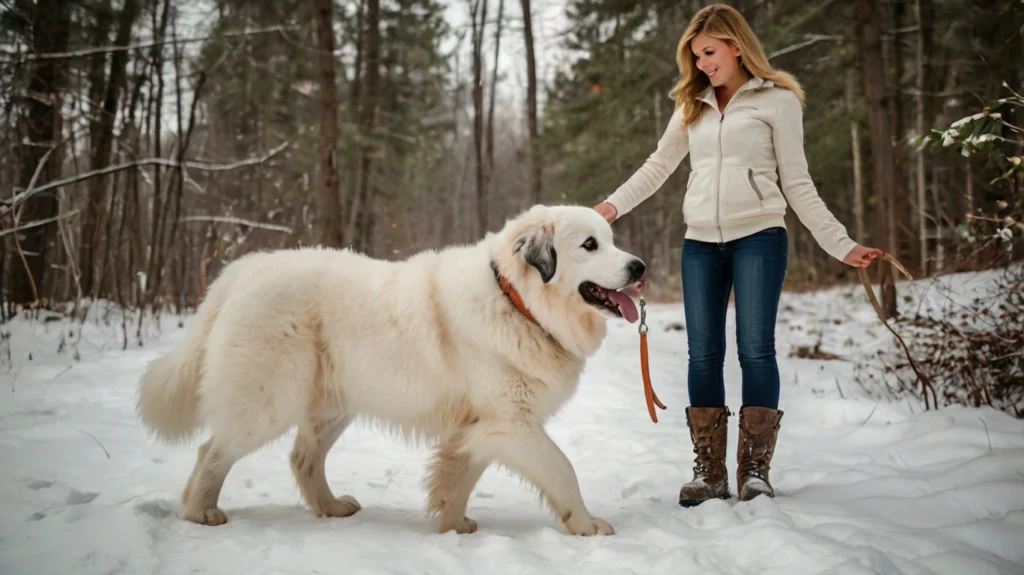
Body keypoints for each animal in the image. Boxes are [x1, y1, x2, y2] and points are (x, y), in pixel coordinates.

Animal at [139, 203, 643, 536]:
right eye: (590, 244)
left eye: (613, 241)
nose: (639, 266)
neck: (516, 302)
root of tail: (249, 269)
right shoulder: (512, 422)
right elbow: (562, 468)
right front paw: (587, 524)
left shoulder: (483, 425)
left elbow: (460, 474)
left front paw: (454, 524)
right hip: (267, 400)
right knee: (213, 451)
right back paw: (201, 512)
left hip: (332, 406)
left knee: (303, 458)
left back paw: (330, 507)